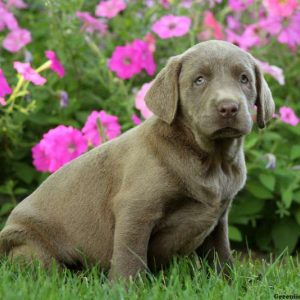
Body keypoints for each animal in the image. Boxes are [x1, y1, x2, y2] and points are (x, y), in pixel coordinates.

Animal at [0, 39, 274, 278]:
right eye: (199, 80)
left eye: (244, 79)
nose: (229, 108)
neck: (212, 160)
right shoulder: (136, 209)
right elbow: (130, 255)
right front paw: (127, 287)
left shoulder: (218, 219)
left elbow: (221, 255)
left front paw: (231, 281)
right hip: (30, 246)